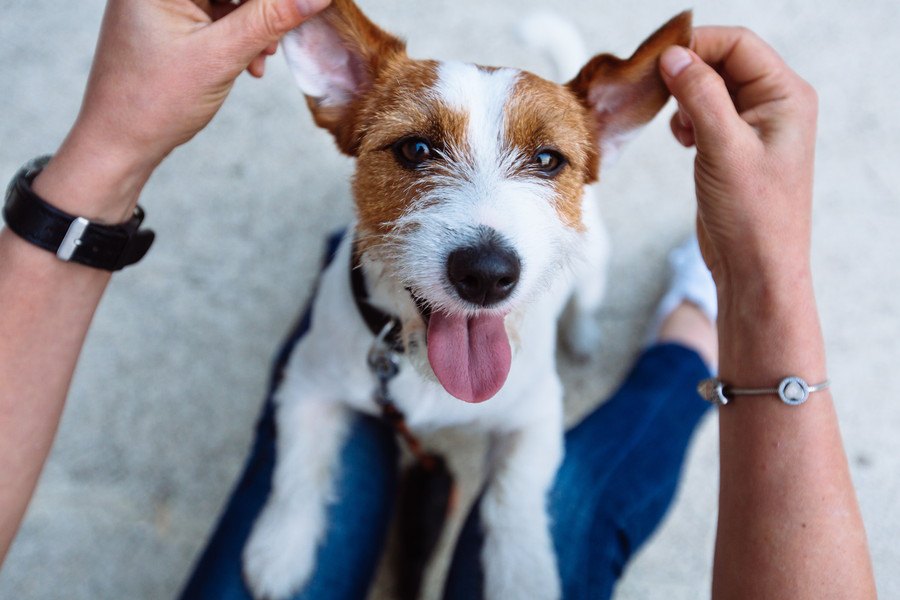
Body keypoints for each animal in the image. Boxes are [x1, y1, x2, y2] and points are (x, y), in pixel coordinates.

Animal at [239, 2, 688, 596]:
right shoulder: (306, 383)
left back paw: (583, 334)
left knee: (585, 302)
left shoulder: (536, 416)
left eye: (548, 160)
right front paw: (281, 550)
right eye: (415, 149)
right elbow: (295, 469)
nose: (486, 274)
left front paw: (522, 574)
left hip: (594, 267)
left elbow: (513, 498)